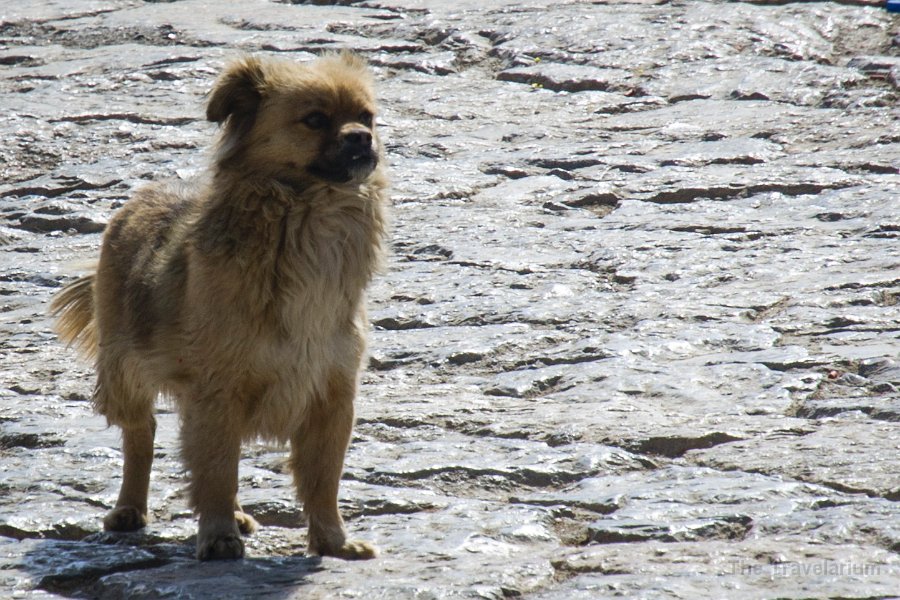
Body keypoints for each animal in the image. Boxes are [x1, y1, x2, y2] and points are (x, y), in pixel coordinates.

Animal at [49, 52, 386, 564]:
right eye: (314, 120)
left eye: (366, 117)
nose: (362, 138)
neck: (309, 220)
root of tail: (137, 199)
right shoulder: (218, 392)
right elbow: (216, 469)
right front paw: (218, 536)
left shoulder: (331, 394)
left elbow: (322, 479)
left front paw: (333, 541)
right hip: (124, 372)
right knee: (140, 436)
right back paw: (130, 508)